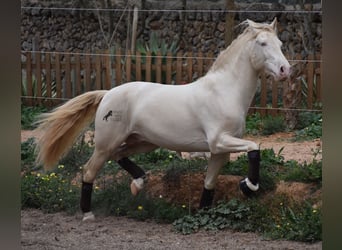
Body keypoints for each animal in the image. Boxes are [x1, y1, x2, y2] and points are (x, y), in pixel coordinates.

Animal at [35, 18, 292, 221]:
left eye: (280, 44)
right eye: (262, 43)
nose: (285, 70)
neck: (224, 92)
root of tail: (107, 93)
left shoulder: (219, 152)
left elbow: (209, 183)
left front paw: (204, 213)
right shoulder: (219, 141)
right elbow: (254, 147)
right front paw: (248, 187)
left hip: (143, 141)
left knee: (120, 155)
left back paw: (138, 185)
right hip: (105, 144)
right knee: (89, 171)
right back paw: (88, 214)